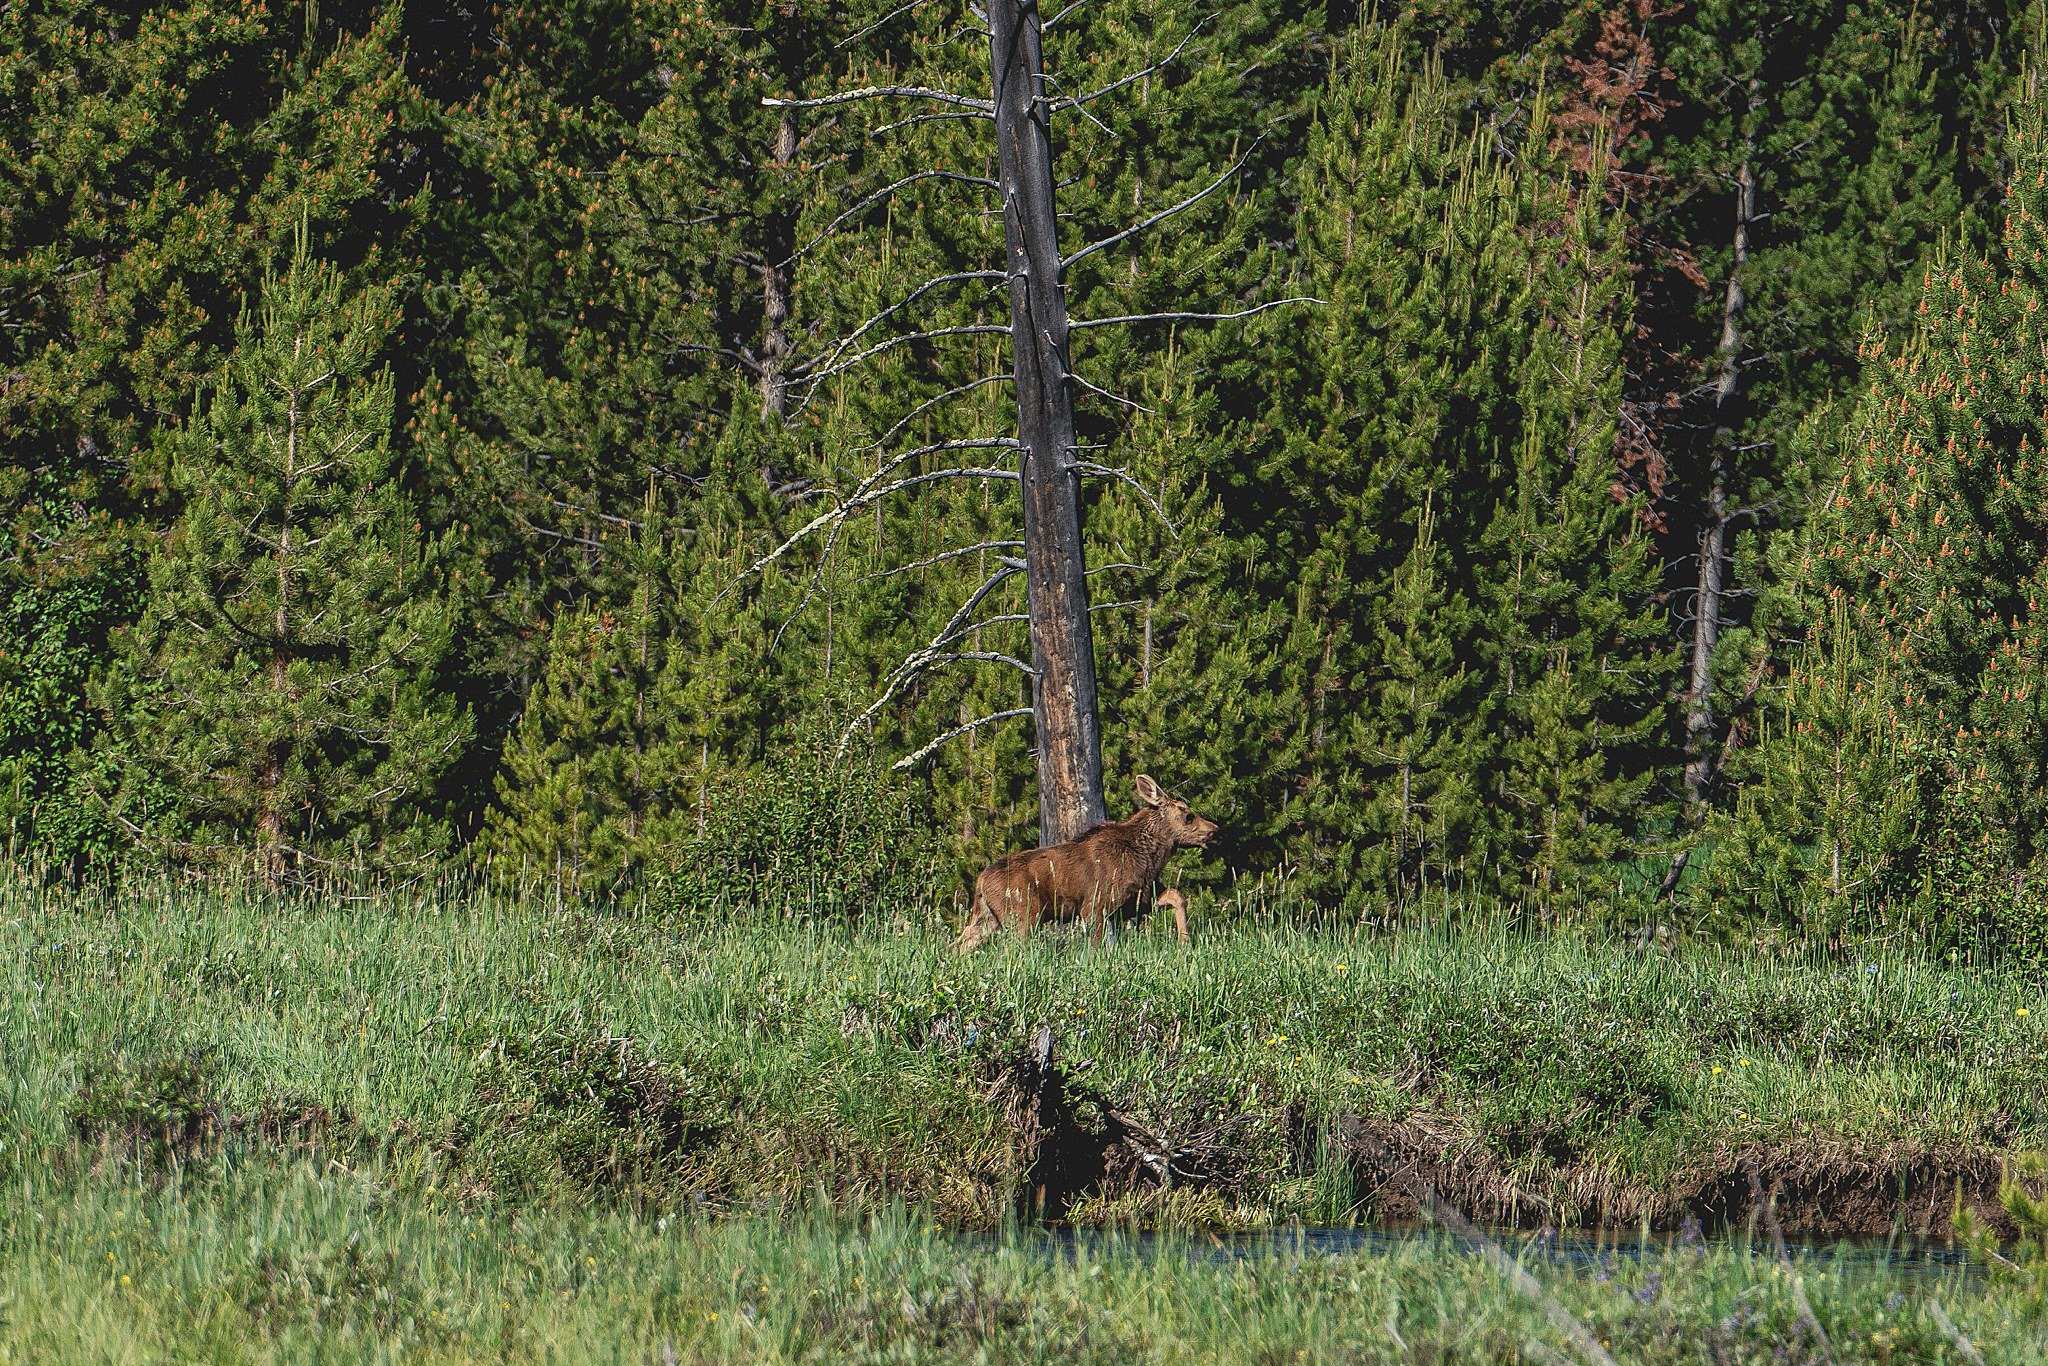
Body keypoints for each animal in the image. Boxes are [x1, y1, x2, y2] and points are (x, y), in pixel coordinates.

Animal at [958, 774, 1212, 958]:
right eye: (1188, 815)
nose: (1214, 831)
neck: (1149, 858)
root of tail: (980, 882)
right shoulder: (1095, 904)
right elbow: (1095, 945)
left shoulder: (1137, 900)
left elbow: (1177, 895)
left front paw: (1185, 941)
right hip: (1022, 914)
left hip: (987, 918)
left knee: (961, 942)